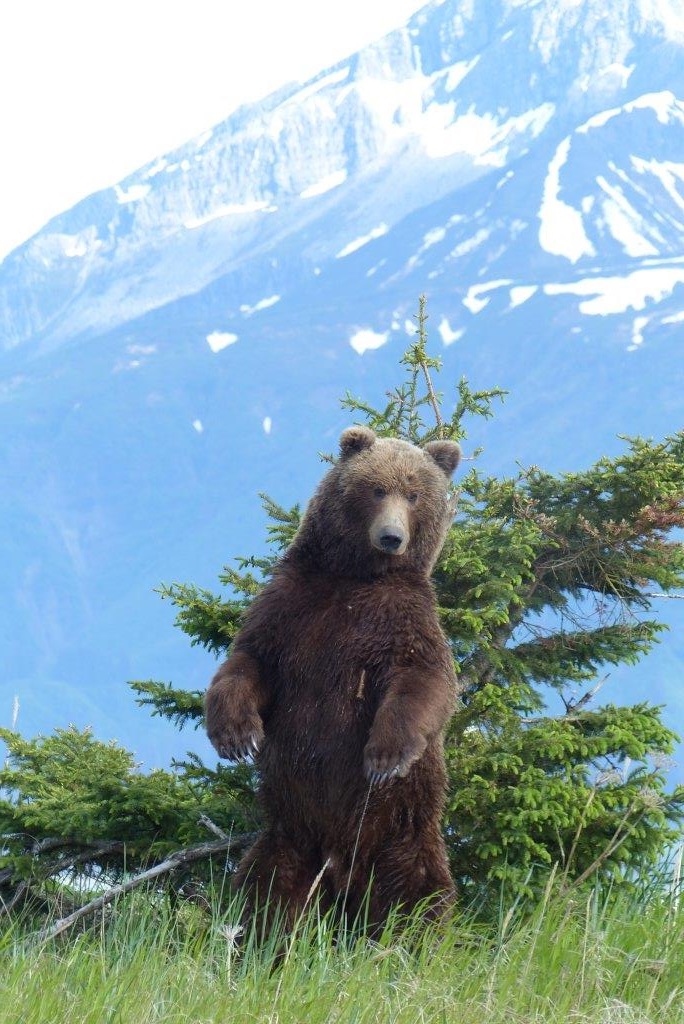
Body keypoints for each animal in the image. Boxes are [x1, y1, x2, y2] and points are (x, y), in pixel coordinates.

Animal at [205, 423, 462, 929]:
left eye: (415, 494)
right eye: (377, 488)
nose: (391, 537)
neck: (357, 576)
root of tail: (343, 870)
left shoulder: (401, 619)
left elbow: (424, 681)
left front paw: (385, 756)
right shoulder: (292, 607)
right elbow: (248, 661)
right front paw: (236, 735)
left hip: (401, 826)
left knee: (418, 891)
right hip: (291, 831)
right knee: (264, 887)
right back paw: (261, 935)